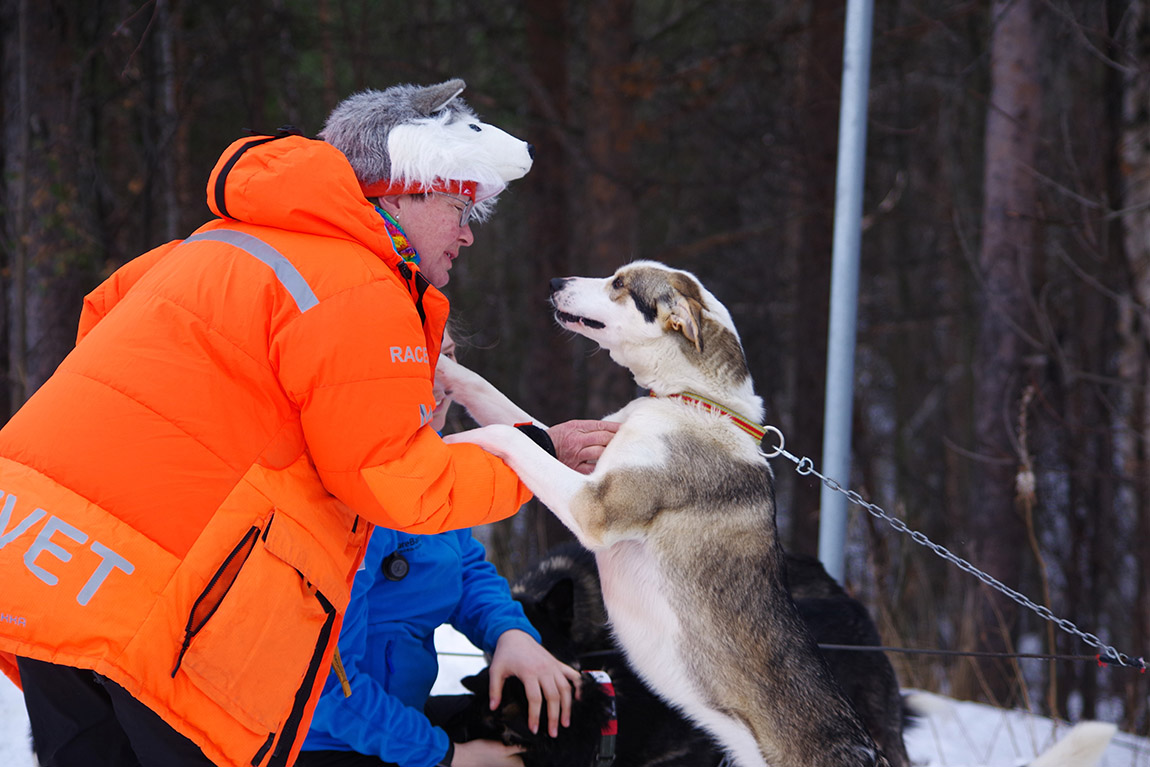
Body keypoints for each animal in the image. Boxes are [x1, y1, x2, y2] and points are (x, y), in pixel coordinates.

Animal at [434, 261, 883, 763]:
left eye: (619, 284)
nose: (554, 283)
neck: (690, 400)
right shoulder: (586, 459)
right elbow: (497, 402)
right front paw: (445, 368)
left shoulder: (593, 505)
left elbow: (509, 434)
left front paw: (451, 443)